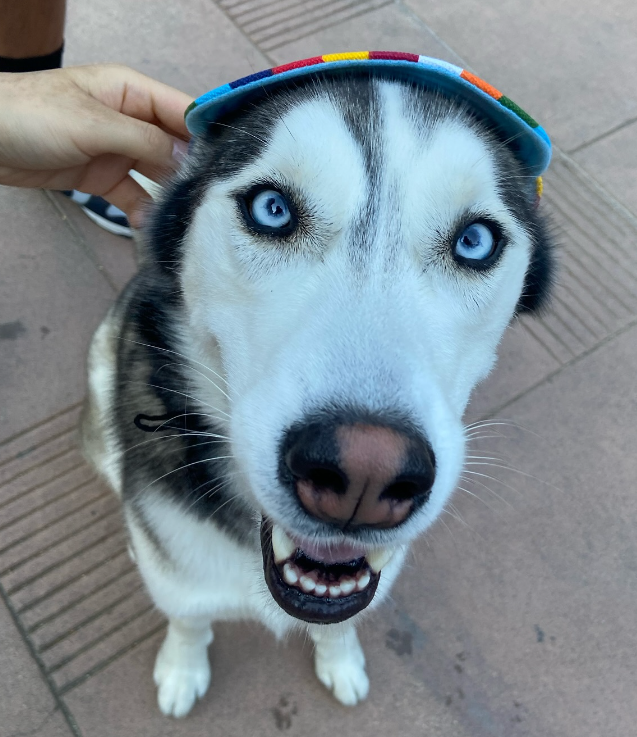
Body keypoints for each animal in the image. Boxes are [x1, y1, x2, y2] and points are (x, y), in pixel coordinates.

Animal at [83, 66, 552, 716]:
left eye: (475, 241)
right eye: (272, 209)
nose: (365, 475)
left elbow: (341, 625)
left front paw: (341, 661)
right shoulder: (175, 571)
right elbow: (189, 619)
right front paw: (181, 669)